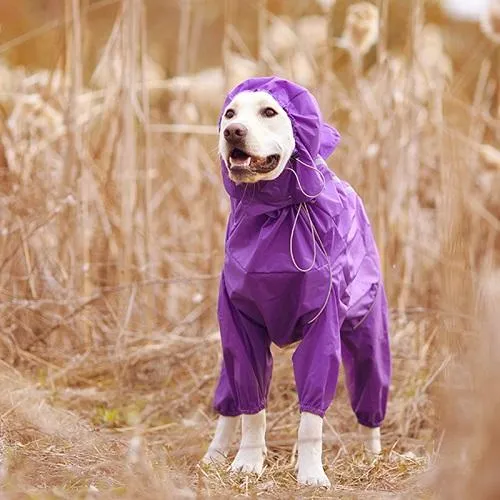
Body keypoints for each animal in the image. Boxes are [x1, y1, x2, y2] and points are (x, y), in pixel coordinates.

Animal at [201, 78, 388, 488]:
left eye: (269, 112)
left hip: (369, 332)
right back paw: (214, 455)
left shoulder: (323, 327)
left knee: (371, 401)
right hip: (228, 353)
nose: (232, 132)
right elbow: (252, 411)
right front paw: (247, 463)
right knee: (228, 404)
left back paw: (373, 458)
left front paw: (311, 473)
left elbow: (310, 422)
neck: (275, 216)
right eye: (230, 113)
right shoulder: (240, 327)